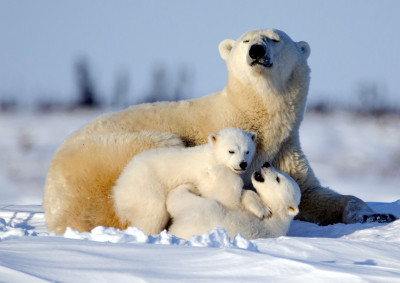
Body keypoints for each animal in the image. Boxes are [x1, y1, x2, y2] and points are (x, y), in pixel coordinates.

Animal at [111, 129, 258, 235]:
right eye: (231, 151)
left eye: (247, 151)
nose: (243, 164)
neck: (212, 157)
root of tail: (119, 186)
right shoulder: (204, 173)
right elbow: (214, 193)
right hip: (145, 188)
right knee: (152, 215)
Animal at [167, 163, 302, 241]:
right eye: (280, 172)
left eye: (278, 179)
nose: (267, 164)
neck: (277, 213)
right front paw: (260, 207)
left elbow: (228, 191)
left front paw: (214, 169)